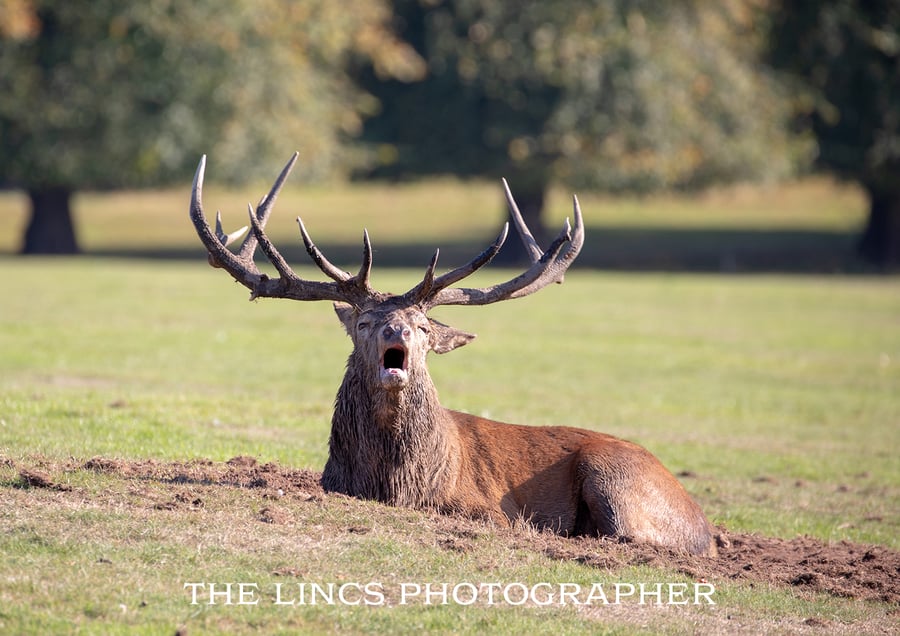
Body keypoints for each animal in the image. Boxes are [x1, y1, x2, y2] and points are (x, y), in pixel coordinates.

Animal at [189, 153, 718, 557]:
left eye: (425, 327)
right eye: (363, 322)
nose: (398, 330)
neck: (399, 484)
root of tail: (705, 527)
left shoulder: (493, 510)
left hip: (614, 474)